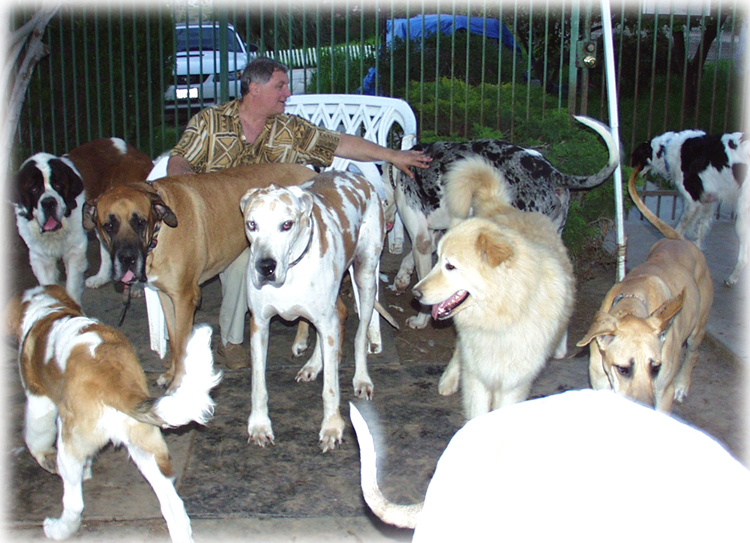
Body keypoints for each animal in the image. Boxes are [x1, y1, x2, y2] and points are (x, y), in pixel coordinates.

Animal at [5, 284, 223, 543]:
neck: (49, 309)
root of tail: (114, 379)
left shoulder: (39, 399)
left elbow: (35, 435)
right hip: (146, 448)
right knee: (174, 506)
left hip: (70, 447)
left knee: (74, 503)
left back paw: (58, 529)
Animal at [11, 138, 153, 304]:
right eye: (34, 189)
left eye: (58, 185)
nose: (49, 203)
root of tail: (133, 150)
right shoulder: (39, 256)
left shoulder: (75, 250)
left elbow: (72, 285)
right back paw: (101, 278)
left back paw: (137, 287)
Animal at [82, 163, 318, 392]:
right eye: (108, 226)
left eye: (140, 222)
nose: (128, 259)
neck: (159, 231)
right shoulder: (166, 296)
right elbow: (174, 339)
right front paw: (171, 375)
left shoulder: (184, 298)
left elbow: (182, 343)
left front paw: (178, 383)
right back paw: (300, 341)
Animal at [384, 115, 620, 328]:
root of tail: (552, 173)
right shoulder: (433, 237)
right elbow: (408, 260)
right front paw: (401, 280)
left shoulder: (421, 239)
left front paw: (420, 319)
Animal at [576, 168, 716, 410]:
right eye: (623, 369)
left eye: (655, 367)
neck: (632, 303)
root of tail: (680, 240)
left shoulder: (663, 393)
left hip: (698, 328)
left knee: (693, 353)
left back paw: (683, 384)